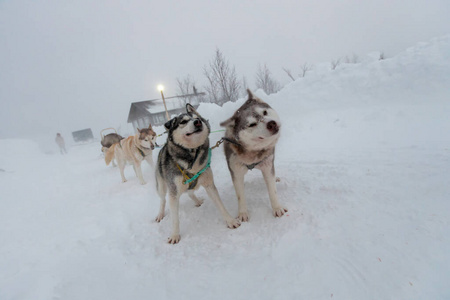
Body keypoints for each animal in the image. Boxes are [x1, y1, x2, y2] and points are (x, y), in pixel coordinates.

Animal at [155, 103, 239, 244]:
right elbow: (175, 219)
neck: (192, 155)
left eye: (196, 118)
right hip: (161, 186)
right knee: (162, 200)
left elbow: (220, 205)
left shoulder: (209, 184)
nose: (197, 122)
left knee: (190, 192)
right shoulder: (173, 193)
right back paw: (160, 214)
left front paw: (230, 220)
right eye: (183, 122)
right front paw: (175, 235)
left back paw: (197, 200)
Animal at [220, 89, 286, 220]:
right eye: (252, 124)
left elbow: (272, 190)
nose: (272, 123)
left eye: (264, 112)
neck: (252, 153)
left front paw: (277, 208)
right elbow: (240, 195)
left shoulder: (267, 166)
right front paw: (242, 213)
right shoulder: (236, 171)